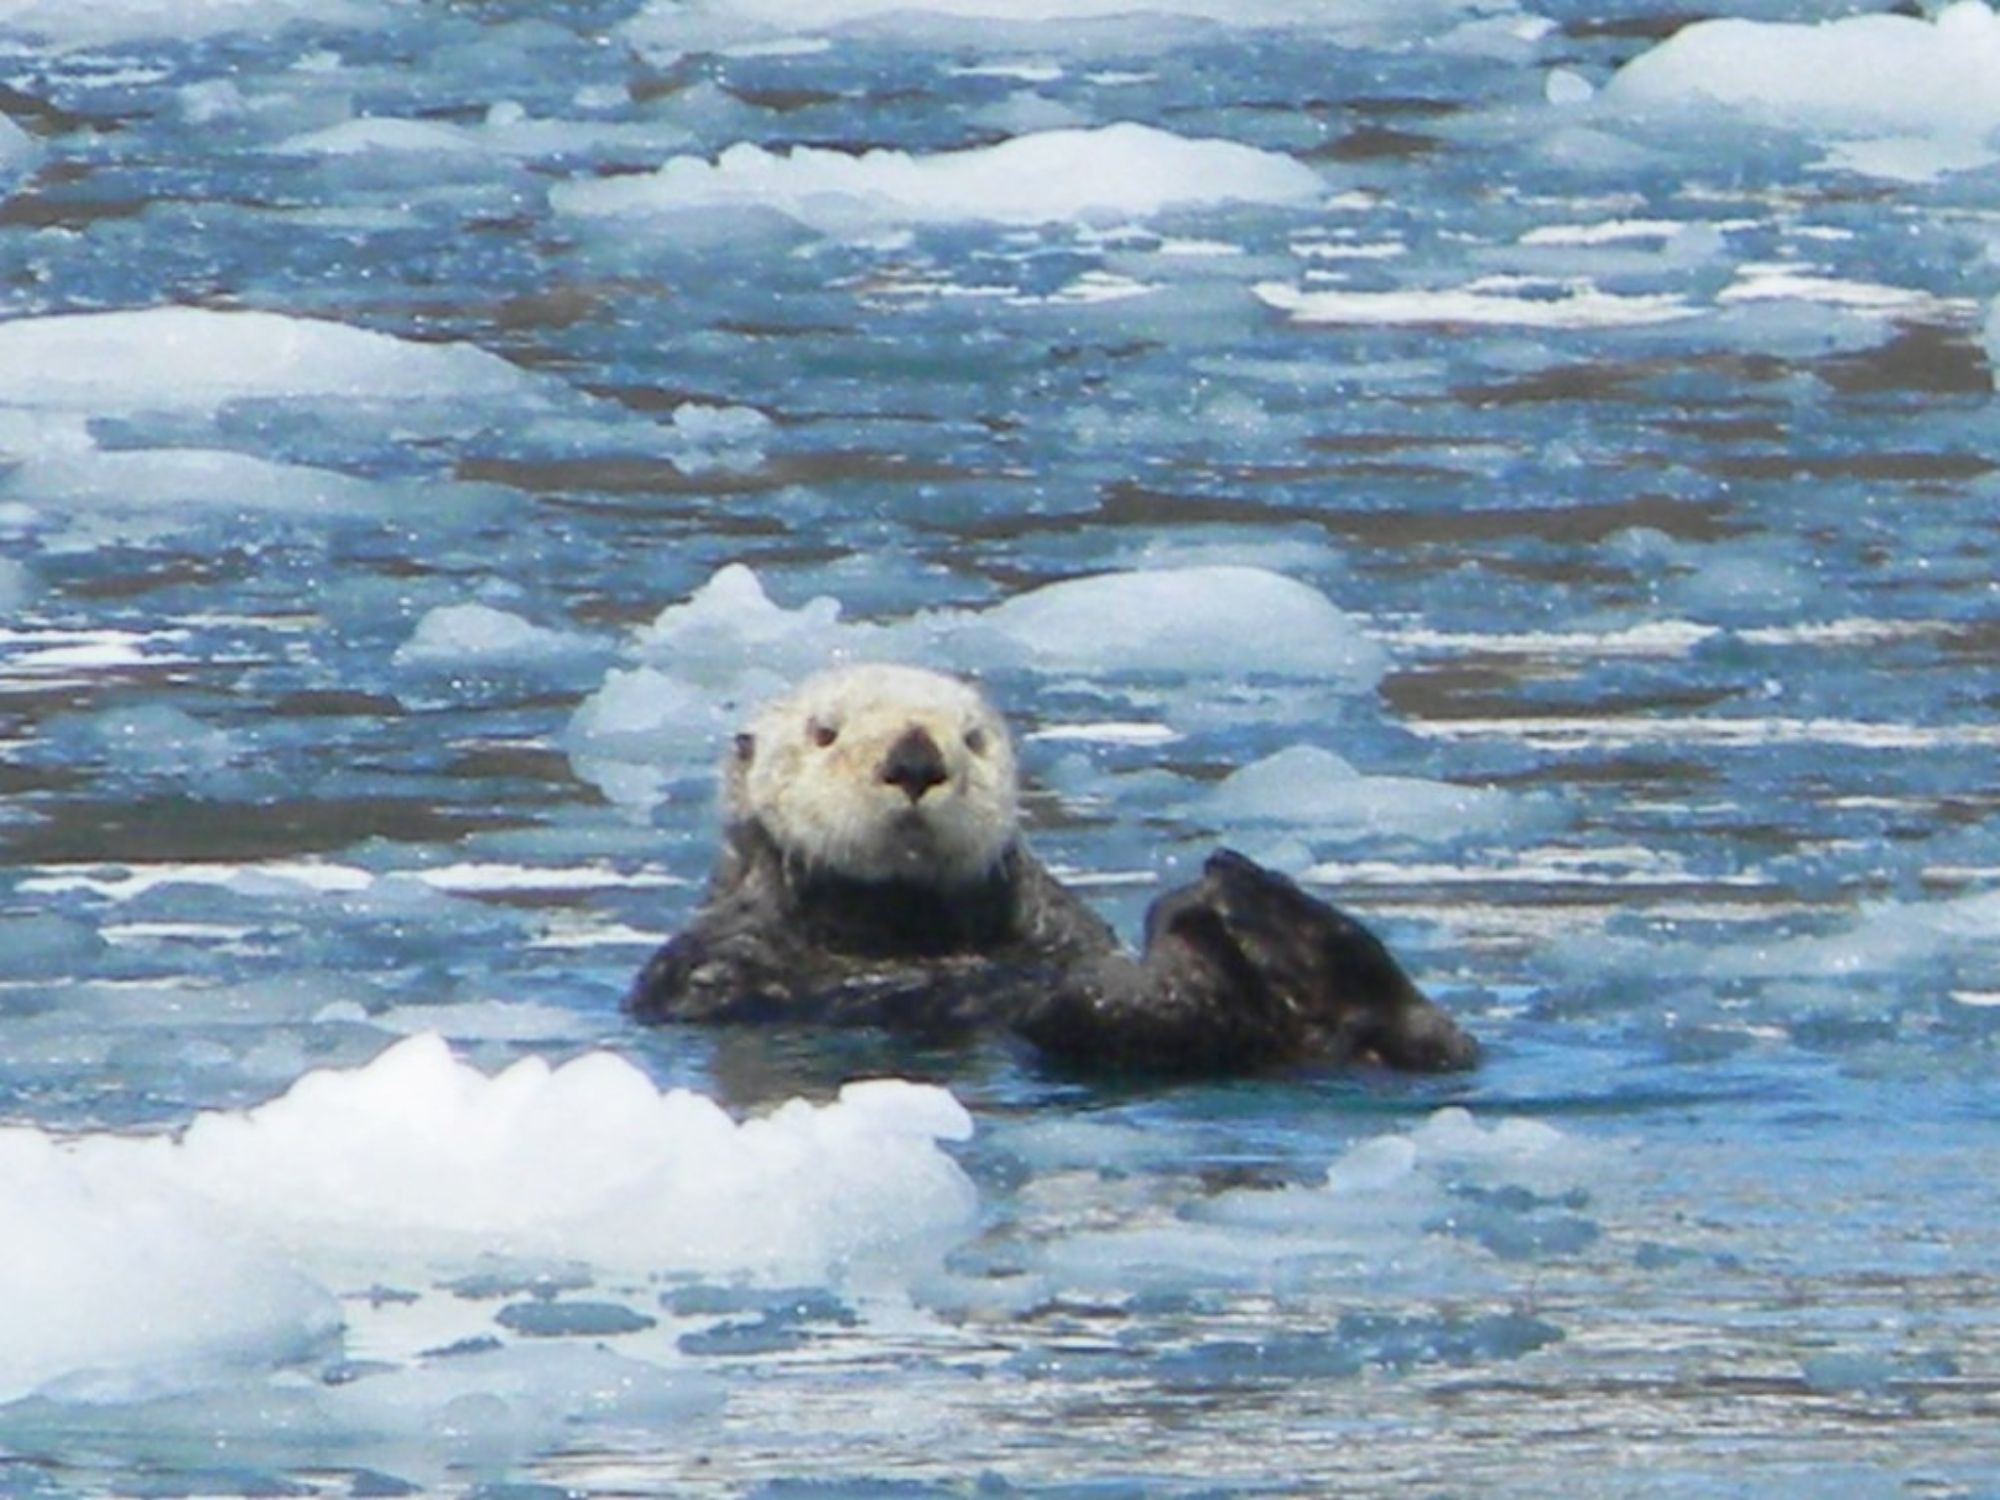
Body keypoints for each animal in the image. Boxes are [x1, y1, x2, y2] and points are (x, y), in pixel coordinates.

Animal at [632, 664, 1480, 1072]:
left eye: (973, 738)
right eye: (824, 732)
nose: (916, 759)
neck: (904, 931)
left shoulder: (1063, 928)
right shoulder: (720, 957)